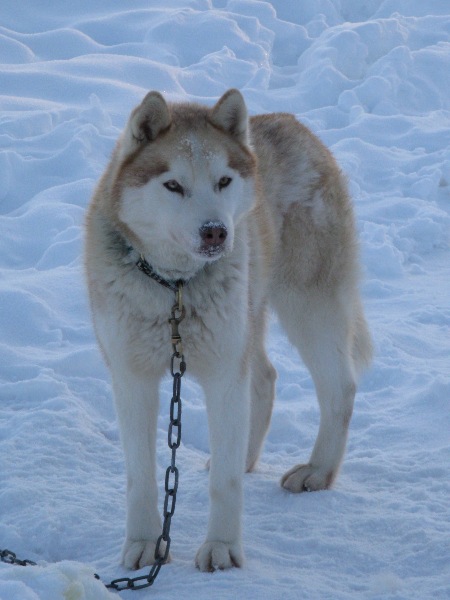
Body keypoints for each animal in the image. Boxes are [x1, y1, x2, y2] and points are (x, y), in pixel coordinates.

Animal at [85, 89, 372, 572]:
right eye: (173, 185)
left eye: (222, 181)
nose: (215, 232)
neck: (175, 288)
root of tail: (292, 123)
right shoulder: (130, 377)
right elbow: (141, 476)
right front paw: (143, 544)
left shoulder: (223, 375)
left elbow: (224, 484)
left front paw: (221, 548)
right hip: (251, 320)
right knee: (266, 378)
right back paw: (249, 458)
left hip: (307, 307)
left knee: (340, 388)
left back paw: (317, 471)